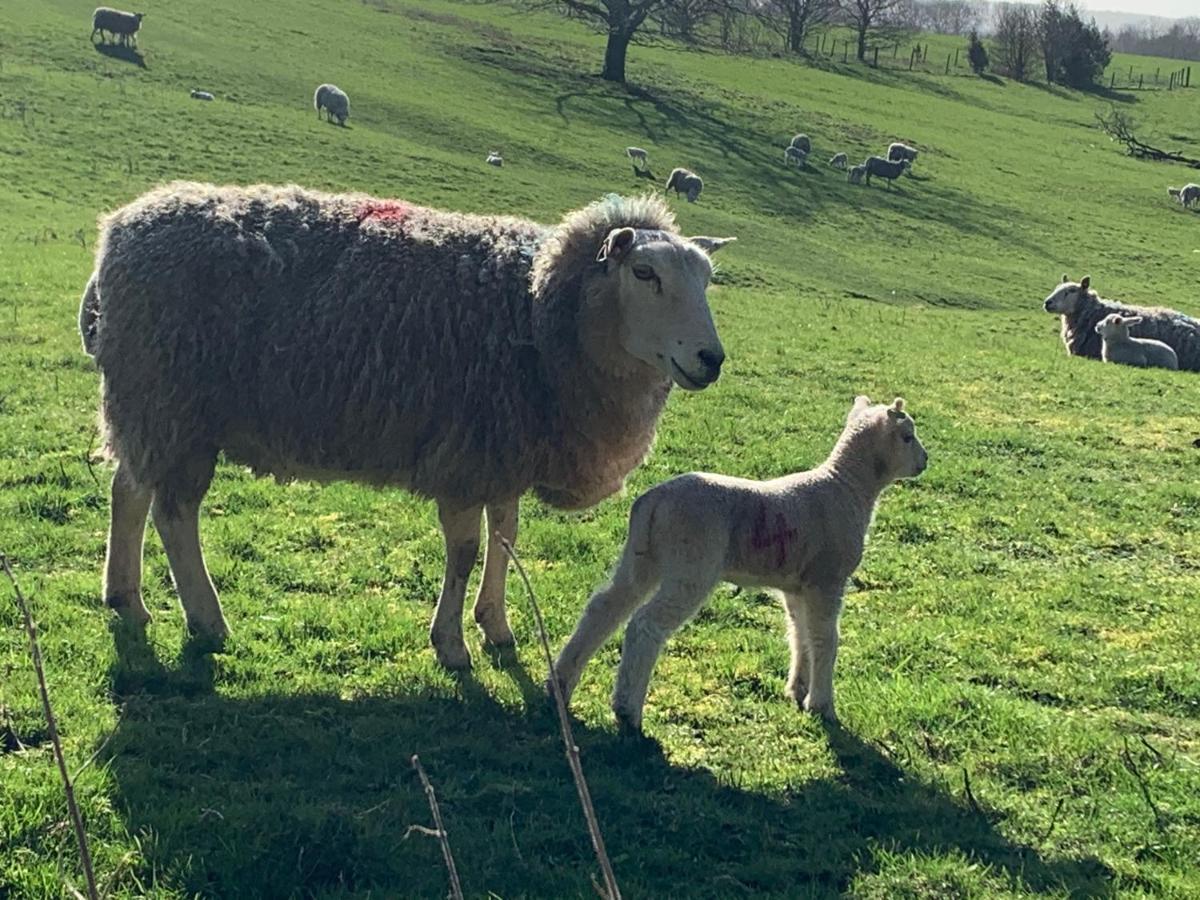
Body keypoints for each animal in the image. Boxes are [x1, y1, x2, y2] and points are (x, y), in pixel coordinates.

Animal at [79, 184, 734, 672]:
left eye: (707, 280)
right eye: (644, 272)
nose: (710, 359)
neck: (536, 312)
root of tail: (118, 231)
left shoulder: (503, 453)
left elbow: (506, 537)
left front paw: (496, 626)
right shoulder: (469, 454)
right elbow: (466, 550)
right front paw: (452, 644)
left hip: (149, 406)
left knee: (128, 490)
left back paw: (126, 599)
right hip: (173, 403)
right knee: (173, 514)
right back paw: (207, 619)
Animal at [552, 396, 926, 734]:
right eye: (908, 436)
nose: (925, 461)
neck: (846, 486)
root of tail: (652, 500)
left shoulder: (798, 586)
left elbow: (800, 634)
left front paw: (798, 689)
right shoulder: (828, 579)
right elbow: (826, 639)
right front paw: (822, 705)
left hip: (642, 557)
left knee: (604, 607)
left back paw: (561, 683)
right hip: (692, 565)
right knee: (645, 625)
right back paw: (628, 711)